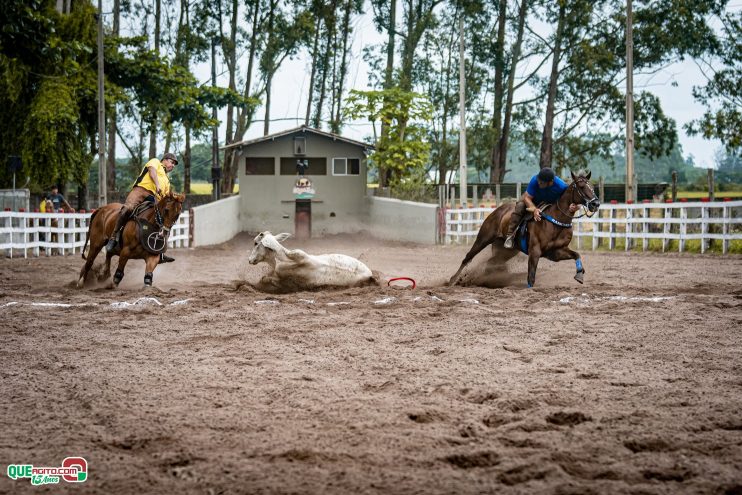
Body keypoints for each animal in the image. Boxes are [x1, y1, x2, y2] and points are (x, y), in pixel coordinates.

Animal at [250, 232, 378, 294]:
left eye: (256, 243)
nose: (249, 260)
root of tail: (370, 275)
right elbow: (267, 278)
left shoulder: (304, 258)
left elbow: (293, 252)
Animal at [450, 170, 600, 286]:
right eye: (581, 186)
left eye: (592, 186)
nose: (596, 203)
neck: (556, 221)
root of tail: (498, 210)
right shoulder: (535, 251)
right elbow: (531, 277)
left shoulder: (556, 252)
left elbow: (577, 255)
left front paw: (579, 275)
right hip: (484, 238)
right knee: (468, 257)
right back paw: (452, 280)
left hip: (506, 251)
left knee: (491, 263)